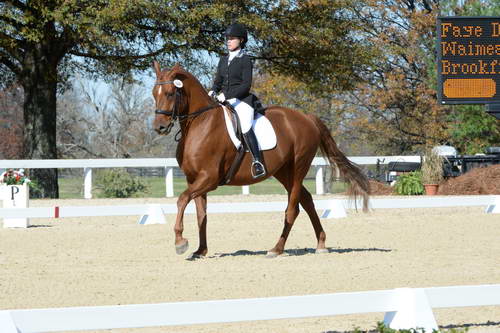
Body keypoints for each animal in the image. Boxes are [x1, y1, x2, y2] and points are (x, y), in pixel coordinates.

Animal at [150, 63, 370, 260]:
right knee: (307, 200)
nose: (159, 128)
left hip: (298, 167)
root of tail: (307, 118)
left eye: (170, 93)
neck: (200, 123)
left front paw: (180, 242)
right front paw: (200, 250)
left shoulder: (209, 179)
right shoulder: (193, 179)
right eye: (154, 93)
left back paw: (276, 249)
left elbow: (181, 200)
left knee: (293, 208)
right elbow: (200, 214)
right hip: (282, 171)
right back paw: (321, 243)